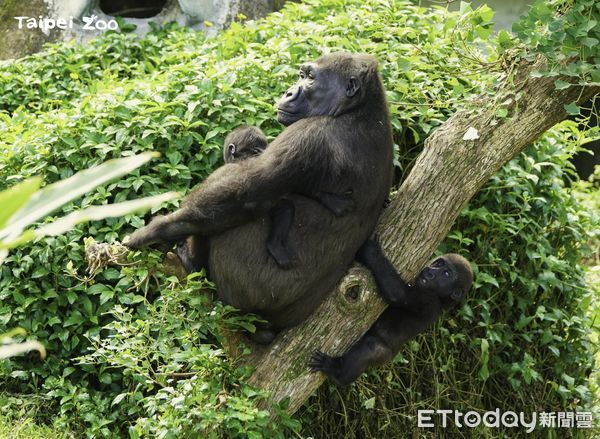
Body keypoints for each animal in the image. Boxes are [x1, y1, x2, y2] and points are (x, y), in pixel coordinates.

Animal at [127, 53, 394, 338]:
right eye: (302, 75)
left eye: (310, 78)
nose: (289, 92)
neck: (359, 109)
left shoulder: (310, 133)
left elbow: (245, 197)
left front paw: (155, 230)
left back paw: (191, 262)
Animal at [310, 242, 474, 386]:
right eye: (439, 264)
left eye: (446, 273)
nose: (431, 271)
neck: (442, 299)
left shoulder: (428, 300)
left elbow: (398, 294)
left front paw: (371, 251)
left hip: (385, 357)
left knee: (371, 347)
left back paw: (338, 373)